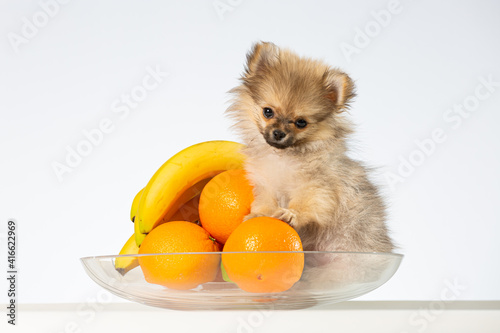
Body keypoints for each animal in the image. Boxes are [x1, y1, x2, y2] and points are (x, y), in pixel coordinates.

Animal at [227, 42, 394, 254]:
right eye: (268, 112)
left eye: (301, 123)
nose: (279, 133)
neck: (283, 157)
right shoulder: (265, 186)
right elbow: (265, 205)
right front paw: (258, 215)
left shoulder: (316, 187)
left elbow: (305, 205)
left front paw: (291, 214)